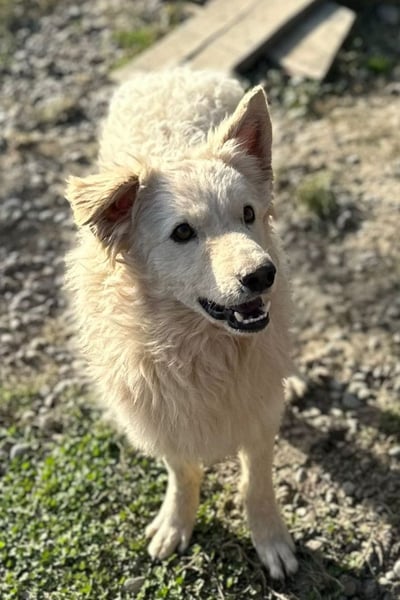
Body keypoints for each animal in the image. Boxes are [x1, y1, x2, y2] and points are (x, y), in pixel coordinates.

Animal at [65, 69, 298, 579]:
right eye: (183, 232)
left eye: (248, 214)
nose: (263, 275)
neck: (201, 347)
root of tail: (174, 71)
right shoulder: (161, 412)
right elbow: (182, 471)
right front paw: (176, 522)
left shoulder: (259, 410)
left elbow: (257, 482)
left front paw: (270, 538)